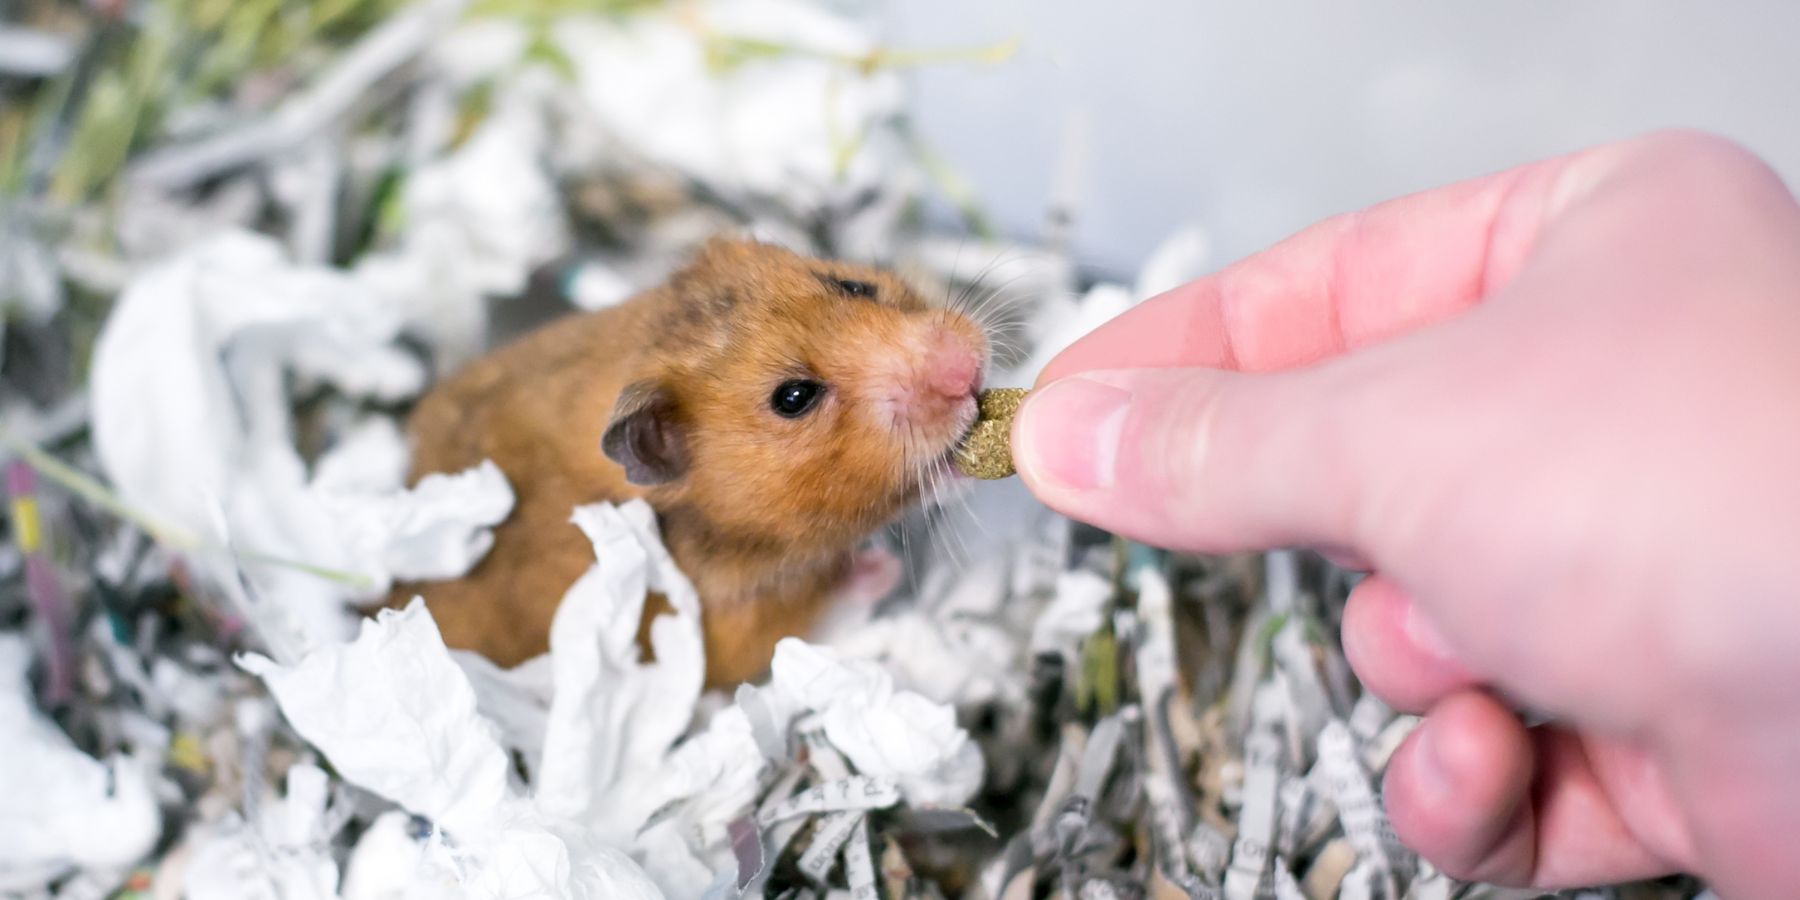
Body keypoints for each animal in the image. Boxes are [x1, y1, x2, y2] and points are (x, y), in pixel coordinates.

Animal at [386, 237, 989, 687]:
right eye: (794, 397)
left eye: (850, 284)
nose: (964, 369)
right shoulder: (736, 629)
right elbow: (822, 601)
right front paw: (880, 568)